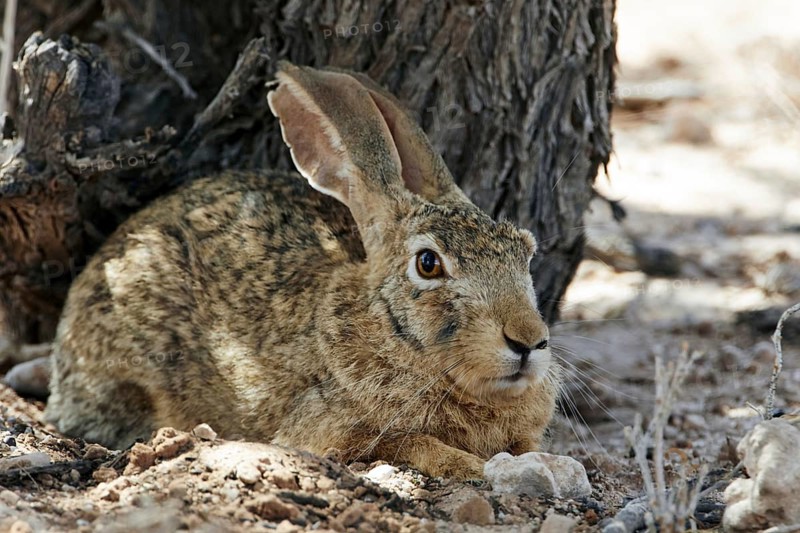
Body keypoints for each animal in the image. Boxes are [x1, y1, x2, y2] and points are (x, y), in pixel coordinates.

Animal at [45, 61, 560, 480]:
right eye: (428, 263)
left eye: (526, 254)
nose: (528, 341)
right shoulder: (327, 428)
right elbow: (408, 443)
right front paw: (468, 465)